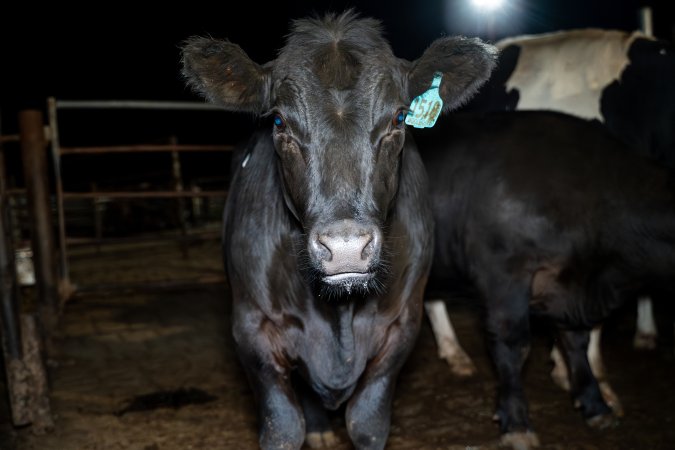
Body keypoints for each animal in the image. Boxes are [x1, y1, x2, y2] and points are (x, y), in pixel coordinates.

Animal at [180, 10, 496, 450]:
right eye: (279, 120)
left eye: (399, 117)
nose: (345, 247)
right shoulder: (251, 327)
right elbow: (283, 427)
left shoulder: (401, 326)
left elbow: (367, 422)